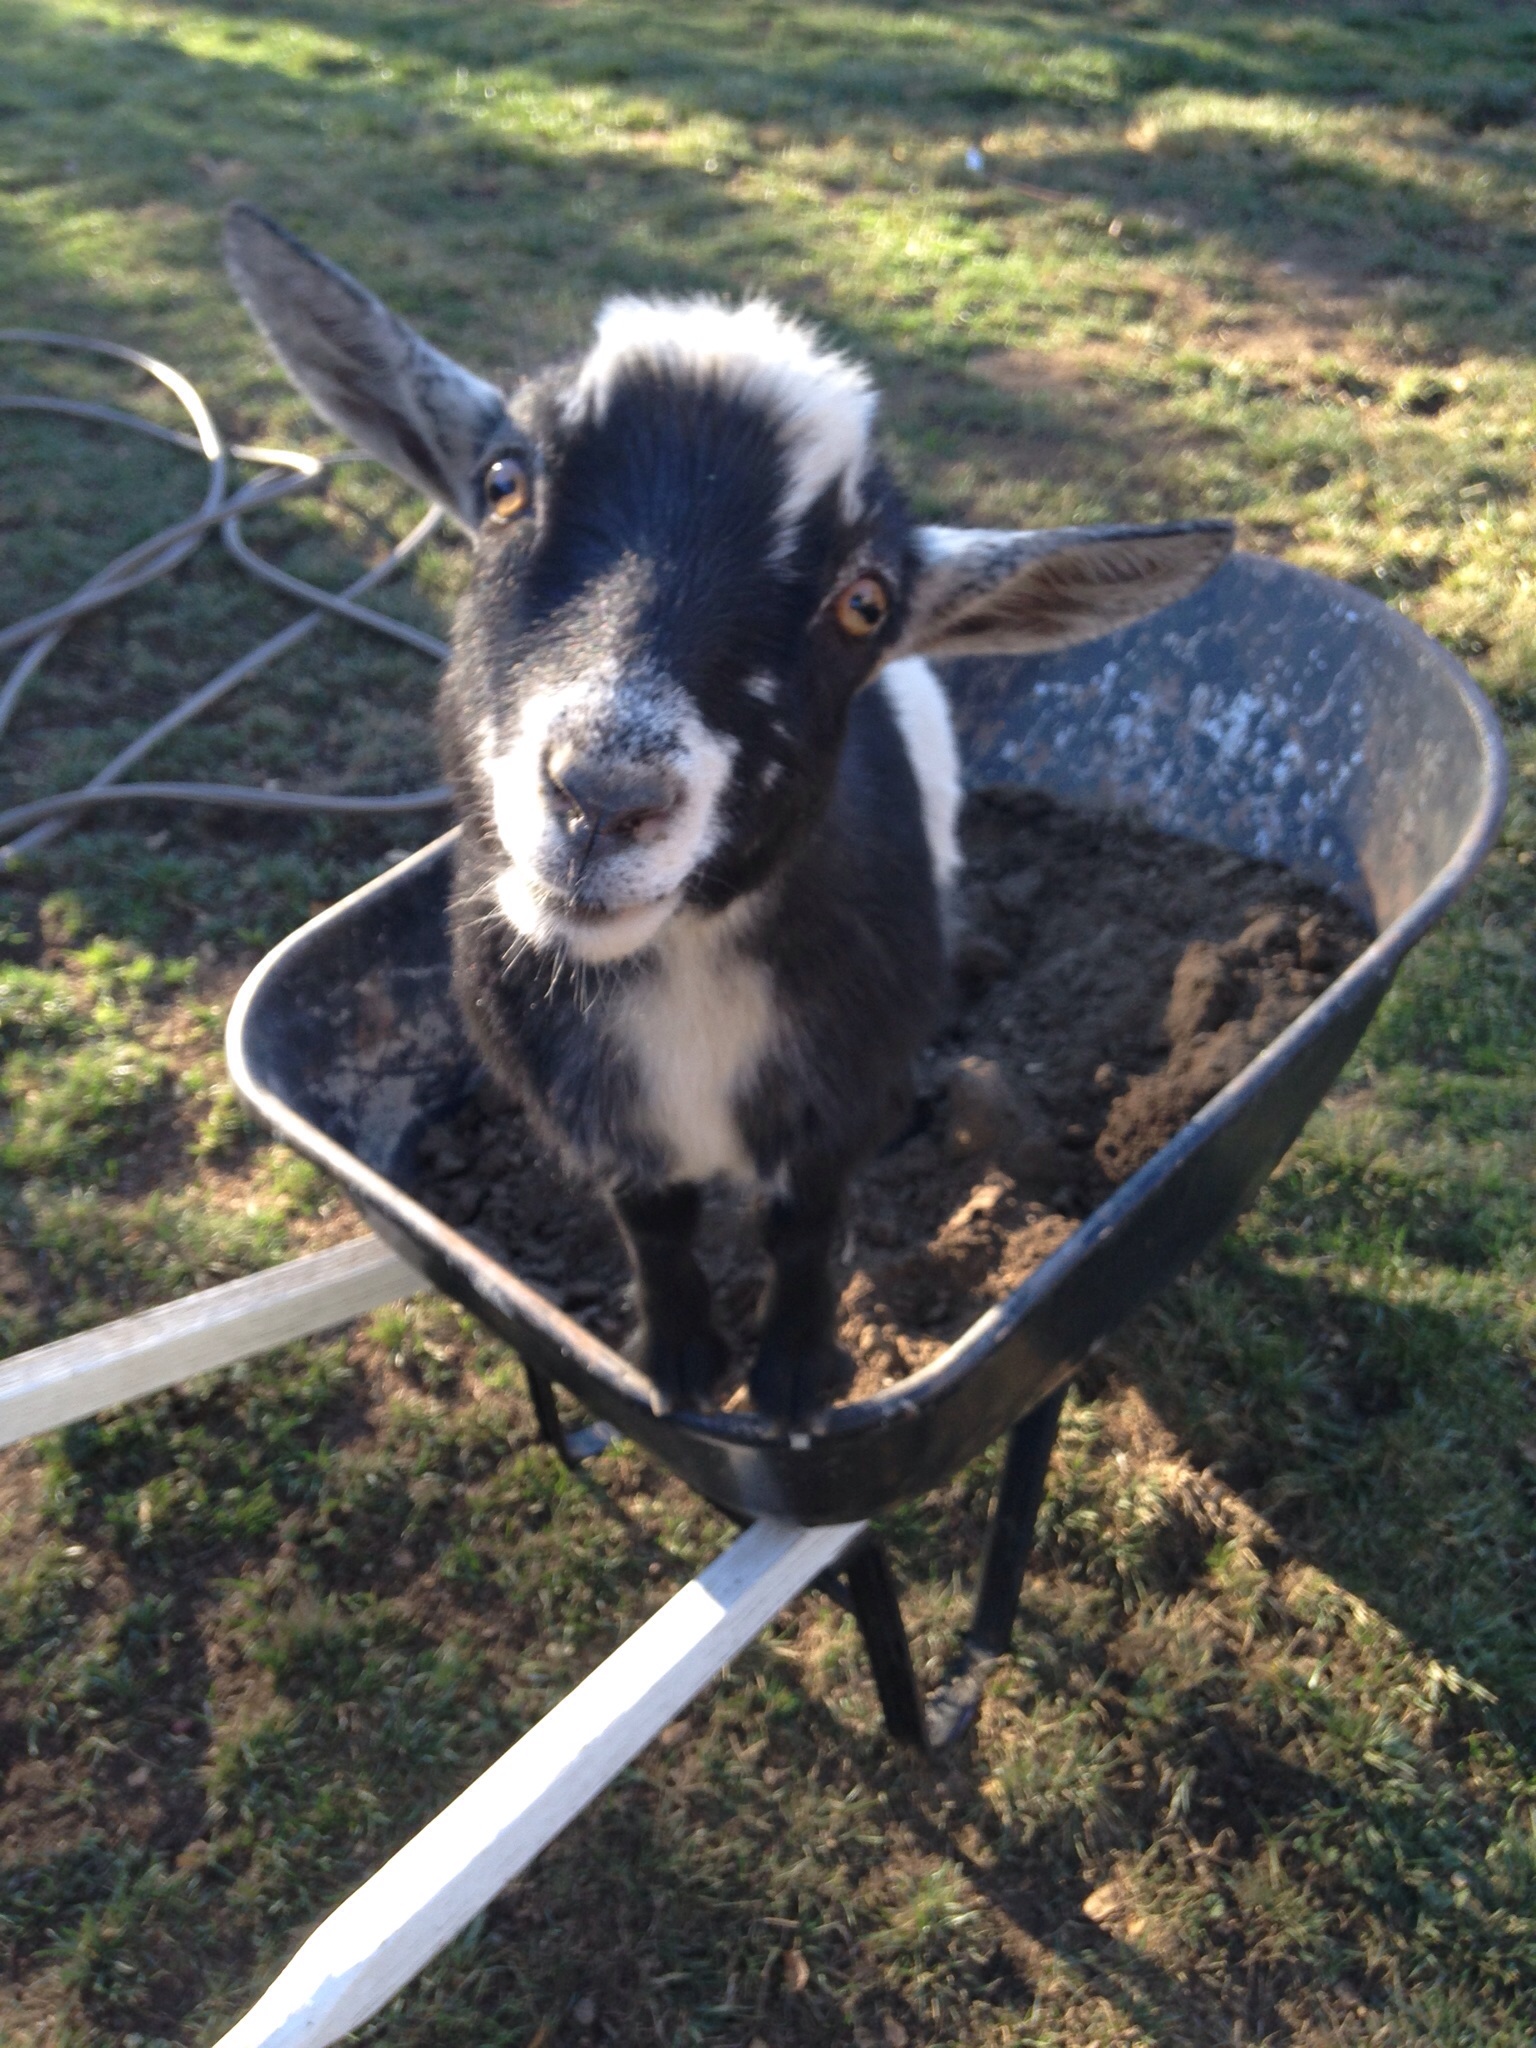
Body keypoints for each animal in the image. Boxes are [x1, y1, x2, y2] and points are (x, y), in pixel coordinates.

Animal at [225, 203, 1236, 1425]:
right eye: (503, 482)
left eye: (866, 603)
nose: (605, 796)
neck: (685, 970)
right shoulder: (592, 1121)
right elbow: (654, 1227)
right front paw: (676, 1363)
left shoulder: (834, 1104)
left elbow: (803, 1232)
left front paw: (795, 1381)